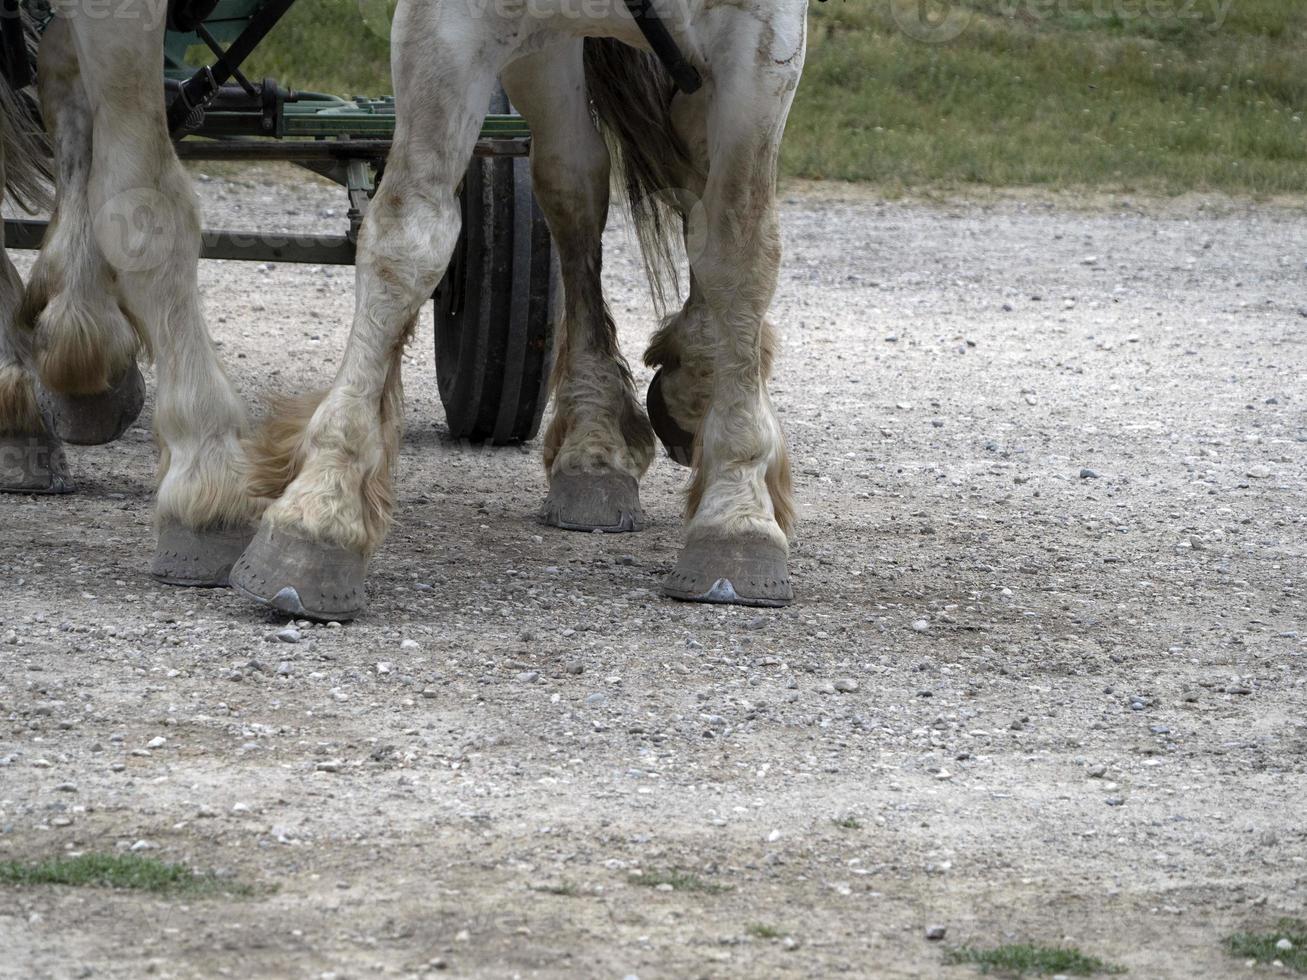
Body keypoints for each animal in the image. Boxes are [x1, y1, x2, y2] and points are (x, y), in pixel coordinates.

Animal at [0, 0, 805, 621]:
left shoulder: (762, 32)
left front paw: (736, 504)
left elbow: (738, 244)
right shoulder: (447, 23)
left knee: (587, 179)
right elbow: (407, 235)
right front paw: (315, 510)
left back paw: (613, 430)